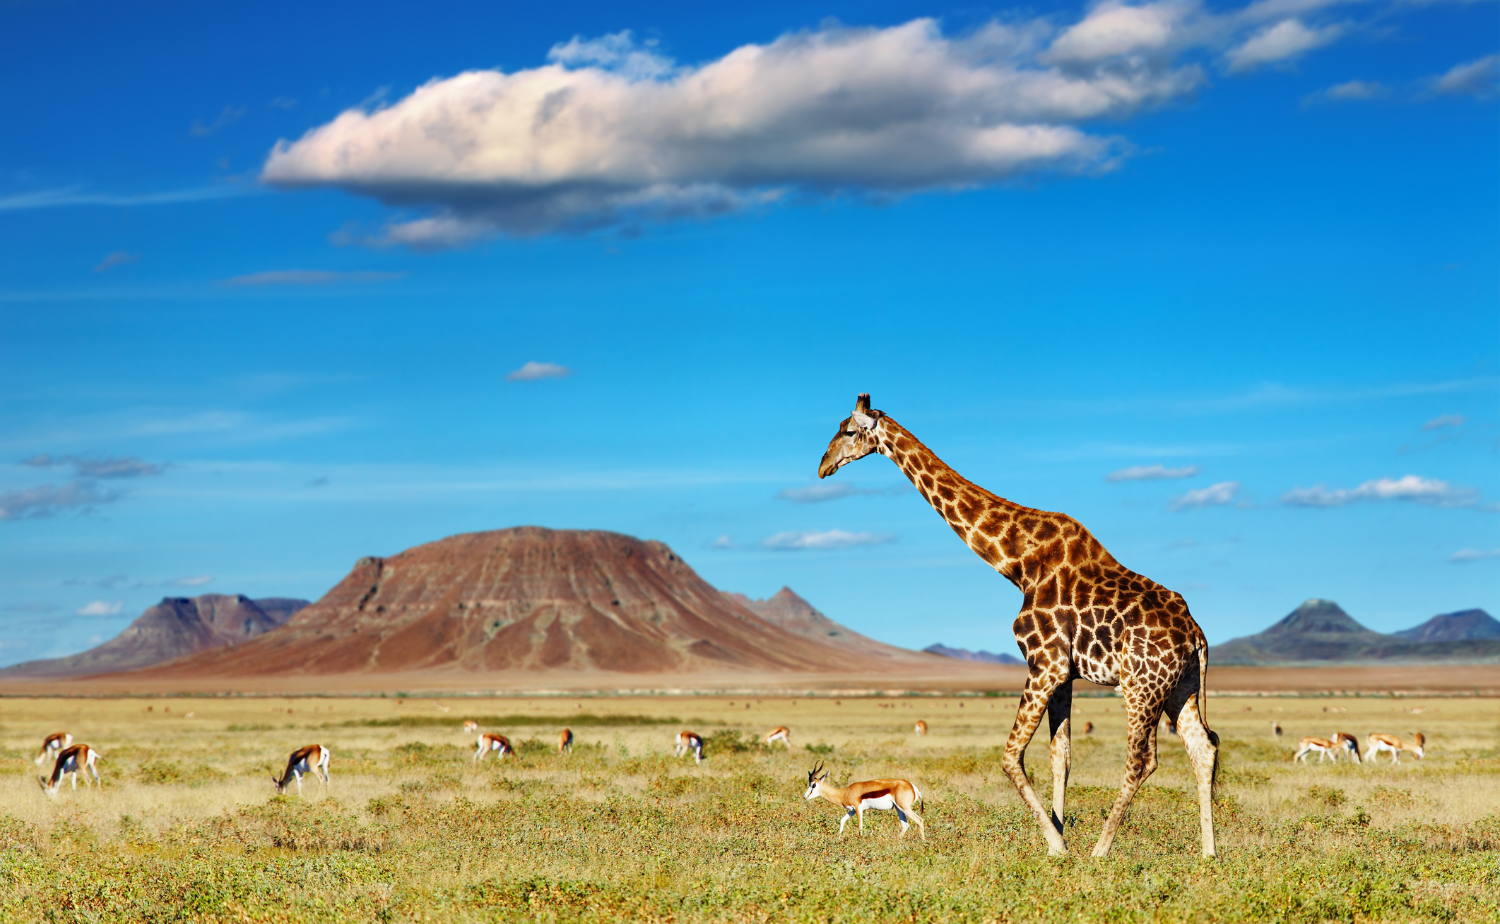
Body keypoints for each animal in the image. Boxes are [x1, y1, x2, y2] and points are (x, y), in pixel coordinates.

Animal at [818, 394, 1219, 857]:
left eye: (849, 431)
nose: (823, 466)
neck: (1018, 563)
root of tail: (1196, 635)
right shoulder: (1063, 673)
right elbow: (1061, 757)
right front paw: (1059, 836)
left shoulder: (1044, 663)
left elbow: (1011, 756)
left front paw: (1057, 845)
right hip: (1180, 686)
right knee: (1203, 747)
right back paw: (1209, 853)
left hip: (1141, 685)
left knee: (1143, 759)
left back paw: (1102, 851)